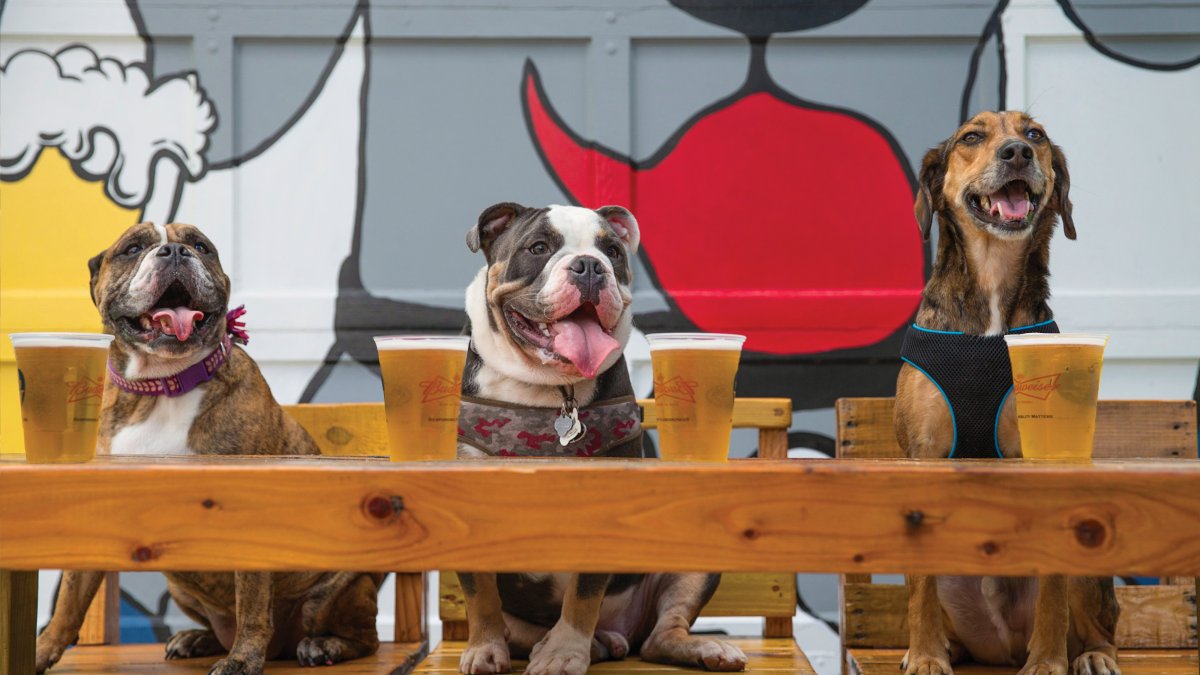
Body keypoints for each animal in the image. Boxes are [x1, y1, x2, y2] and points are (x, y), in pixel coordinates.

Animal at [35, 222, 384, 672]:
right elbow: (69, 600)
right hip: (183, 589)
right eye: (132, 248)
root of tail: (283, 648)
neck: (164, 383)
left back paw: (325, 645)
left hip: (333, 591)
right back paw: (197, 639)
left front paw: (243, 660)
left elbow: (252, 599)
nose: (174, 252)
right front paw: (40, 650)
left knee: (364, 637)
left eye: (201, 247)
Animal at [897, 111, 1118, 672]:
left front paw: (1048, 662)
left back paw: (1089, 654)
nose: (1016, 152)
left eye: (1035, 135)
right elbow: (920, 588)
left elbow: (1053, 591)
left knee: (1096, 621)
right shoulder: (922, 456)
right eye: (972, 137)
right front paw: (926, 656)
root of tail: (1000, 647)